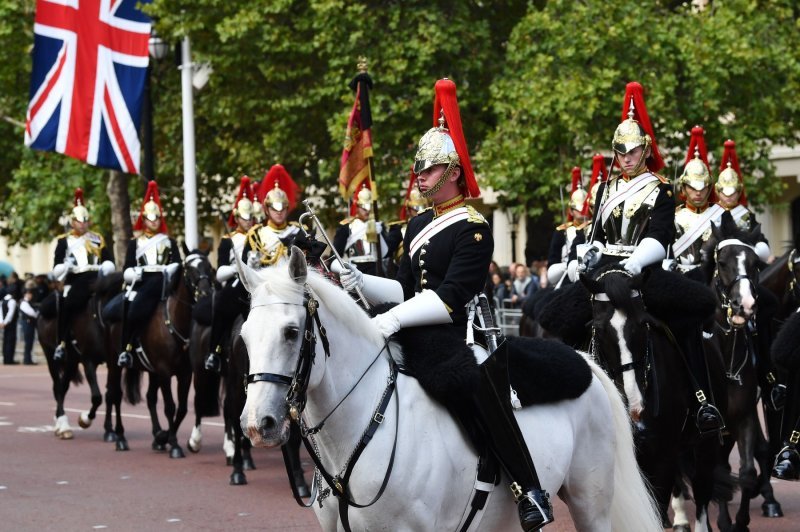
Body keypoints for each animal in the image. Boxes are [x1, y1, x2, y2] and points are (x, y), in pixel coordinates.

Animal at [238, 249, 664, 532]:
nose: (259, 424)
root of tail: (585, 360)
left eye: (292, 332)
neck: (363, 429)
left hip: (592, 504)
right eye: (243, 336)